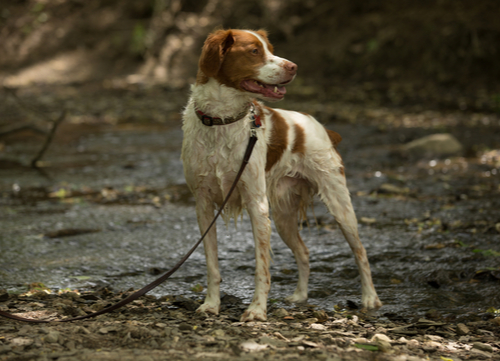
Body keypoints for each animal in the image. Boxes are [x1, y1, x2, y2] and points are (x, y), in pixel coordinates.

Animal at [182, 28, 380, 320]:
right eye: (254, 51)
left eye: (271, 49)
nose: (294, 66)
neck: (221, 122)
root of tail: (320, 127)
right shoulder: (203, 204)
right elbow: (212, 264)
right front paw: (211, 304)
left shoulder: (257, 204)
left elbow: (261, 267)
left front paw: (256, 310)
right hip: (284, 216)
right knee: (304, 252)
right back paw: (300, 296)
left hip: (339, 205)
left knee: (361, 251)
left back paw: (370, 298)